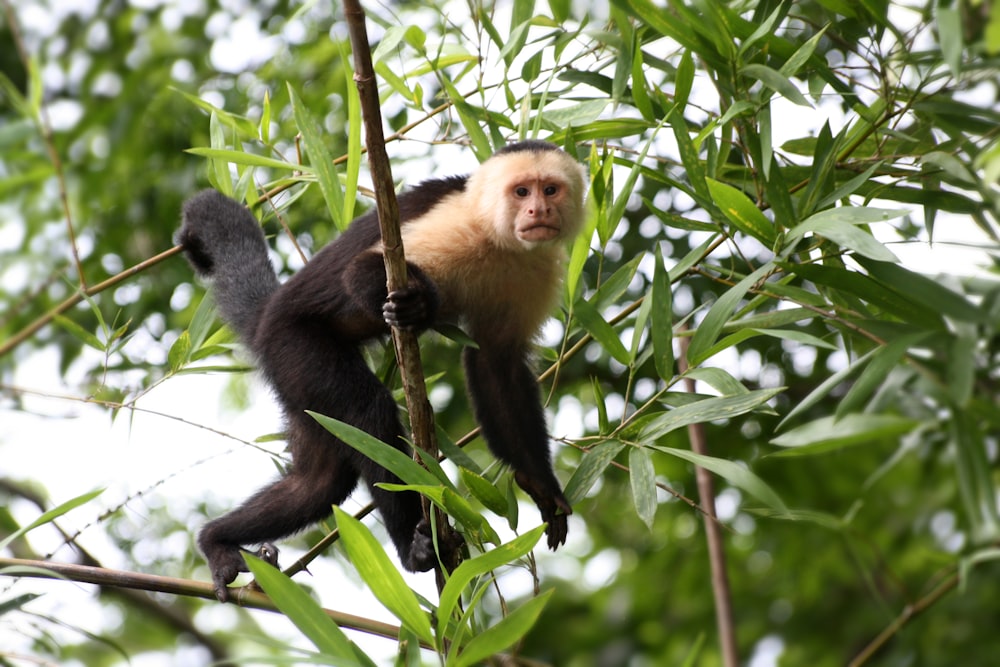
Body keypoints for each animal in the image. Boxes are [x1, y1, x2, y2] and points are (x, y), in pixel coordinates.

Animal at [178, 140, 584, 600]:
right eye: (520, 192)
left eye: (549, 189)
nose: (538, 210)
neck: (500, 242)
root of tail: (267, 317)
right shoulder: (458, 224)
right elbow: (360, 271)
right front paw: (419, 305)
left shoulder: (537, 269)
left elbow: (497, 362)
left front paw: (541, 485)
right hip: (296, 347)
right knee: (367, 415)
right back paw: (413, 548)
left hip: (294, 381)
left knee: (319, 483)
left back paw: (217, 538)